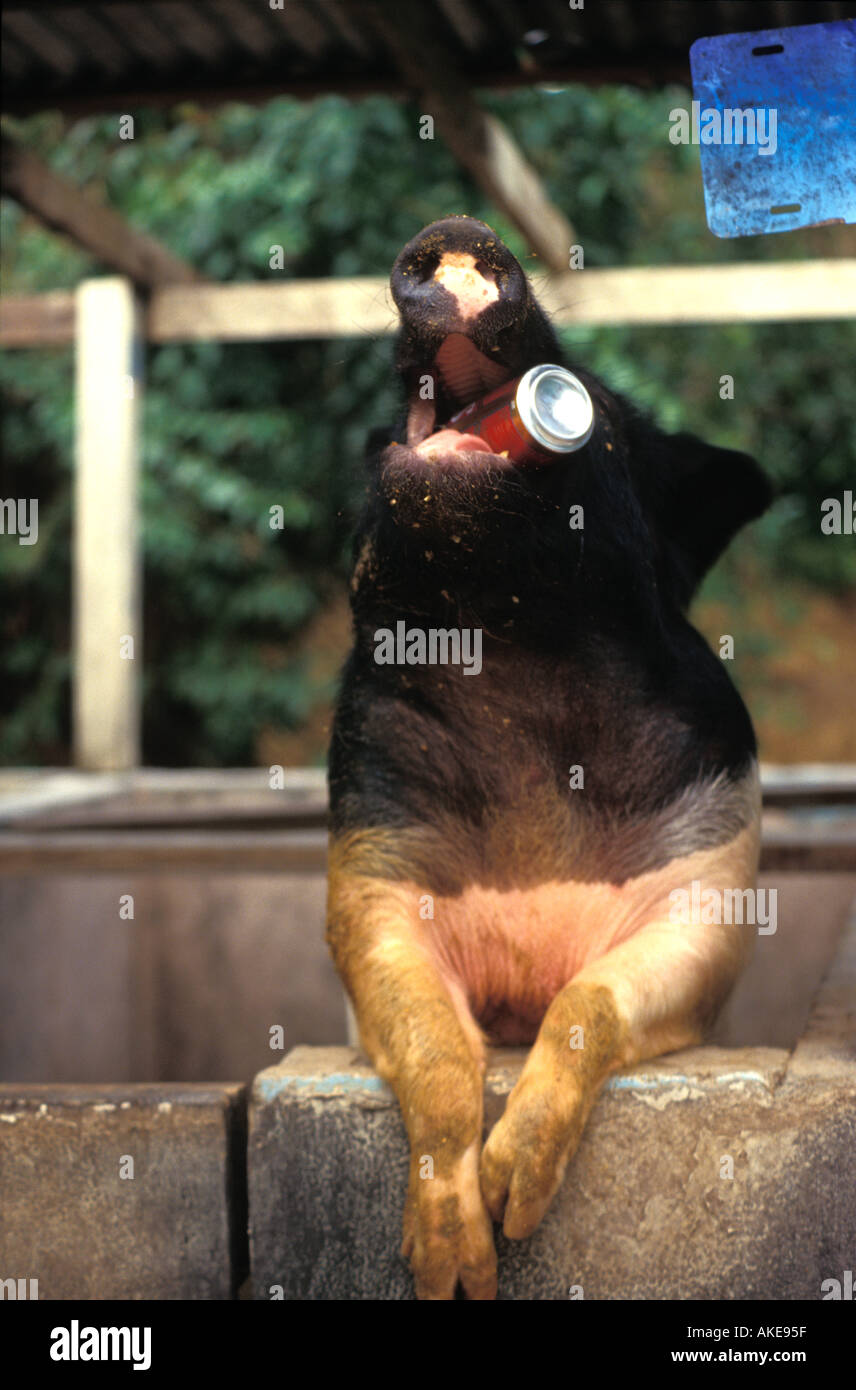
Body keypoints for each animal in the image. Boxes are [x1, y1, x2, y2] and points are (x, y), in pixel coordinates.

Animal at [326, 216, 772, 1300]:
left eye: (595, 410)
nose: (458, 230)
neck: (513, 656)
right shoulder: (369, 869)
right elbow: (435, 1047)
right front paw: (455, 1270)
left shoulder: (710, 875)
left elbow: (590, 1001)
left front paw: (513, 1199)